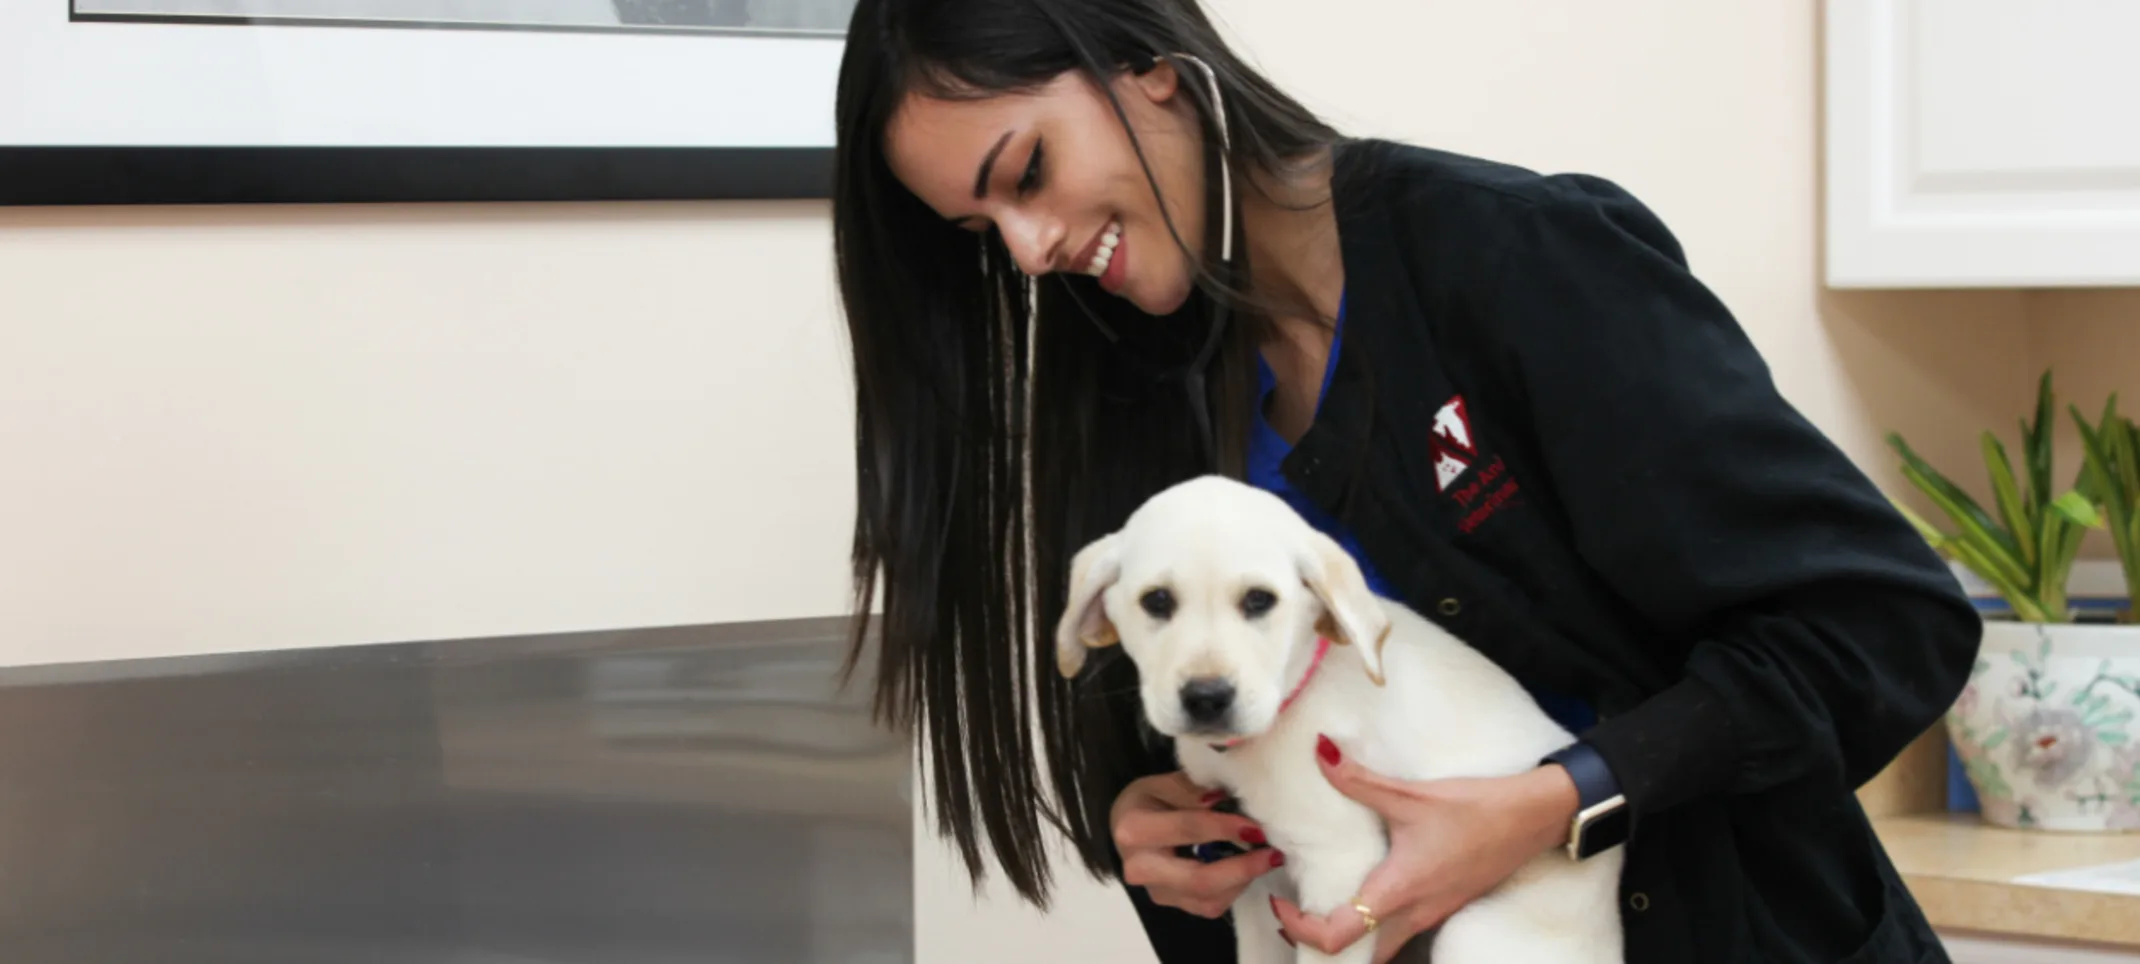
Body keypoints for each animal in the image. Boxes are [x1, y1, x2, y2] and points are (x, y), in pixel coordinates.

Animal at [1052, 473, 1617, 964]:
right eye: (1157, 601)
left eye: (1259, 600)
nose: (1206, 698)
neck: (1288, 703)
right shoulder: (1258, 883)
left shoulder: (1337, 874)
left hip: (1474, 933)